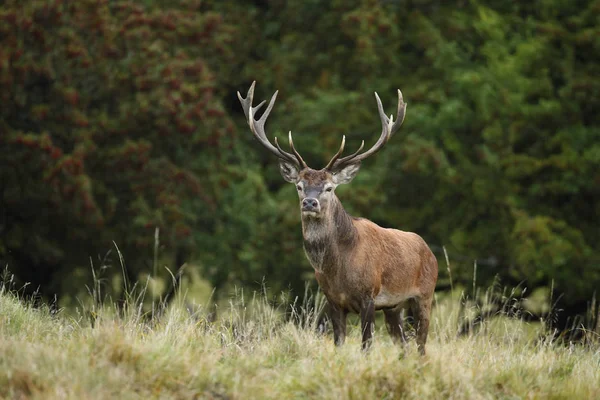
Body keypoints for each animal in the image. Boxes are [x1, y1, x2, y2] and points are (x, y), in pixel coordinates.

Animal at [237, 81, 438, 354]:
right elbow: (339, 343)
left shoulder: (369, 295)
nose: (309, 202)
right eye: (299, 186)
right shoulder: (332, 300)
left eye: (329, 188)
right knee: (404, 346)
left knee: (421, 347)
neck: (338, 268)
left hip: (424, 296)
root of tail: (429, 251)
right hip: (394, 307)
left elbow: (366, 345)